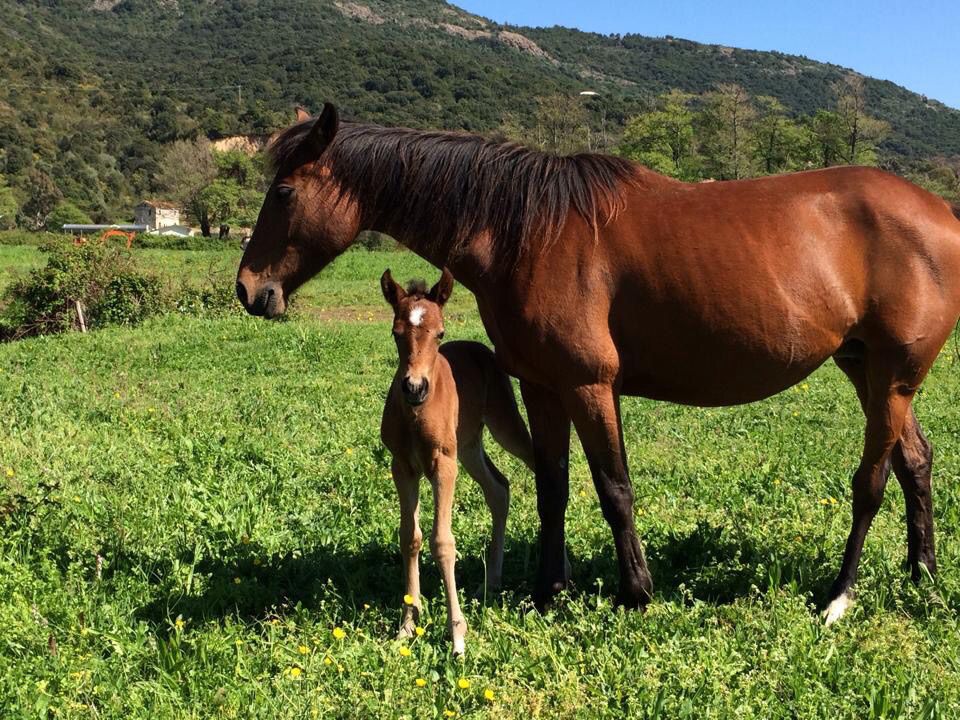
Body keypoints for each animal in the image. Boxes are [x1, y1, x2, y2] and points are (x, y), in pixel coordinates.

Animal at [379, 268, 534, 654]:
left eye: (440, 333)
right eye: (396, 333)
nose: (414, 387)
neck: (415, 414)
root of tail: (479, 348)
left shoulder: (443, 466)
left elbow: (443, 542)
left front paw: (457, 635)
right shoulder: (402, 466)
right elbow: (410, 537)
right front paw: (407, 624)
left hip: (503, 426)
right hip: (467, 446)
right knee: (499, 488)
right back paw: (493, 579)